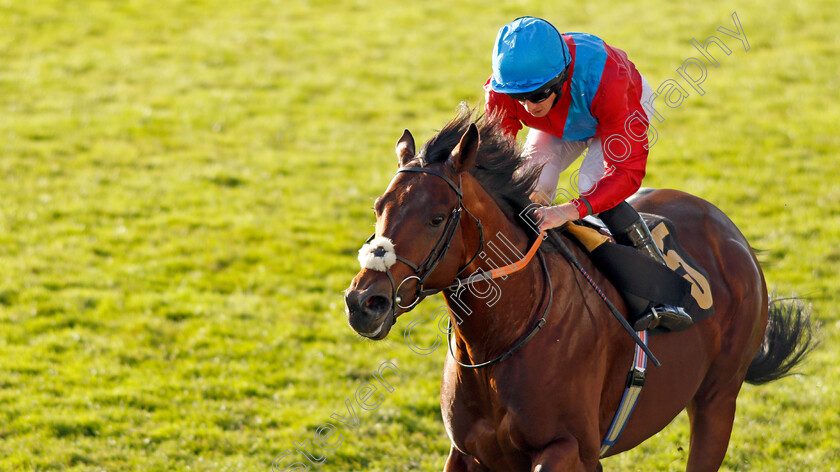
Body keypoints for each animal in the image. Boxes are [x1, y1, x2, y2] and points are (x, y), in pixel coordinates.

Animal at [342, 107, 812, 472]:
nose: (364, 302)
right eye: (378, 207)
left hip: (718, 399)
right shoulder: (468, 453)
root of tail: (730, 232)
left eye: (437, 218)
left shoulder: (571, 449)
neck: (503, 336)